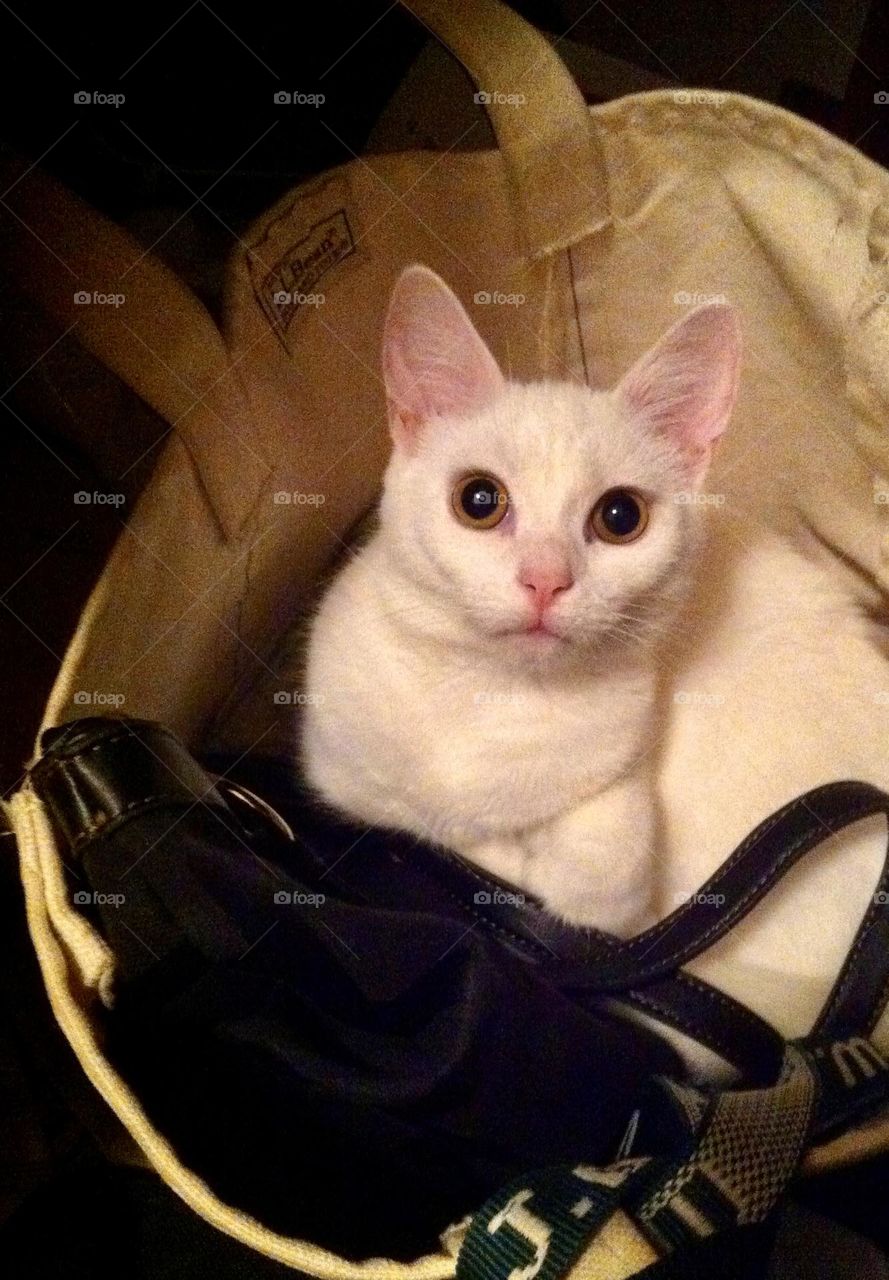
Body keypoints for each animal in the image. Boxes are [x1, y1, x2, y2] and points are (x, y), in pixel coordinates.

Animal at [303, 264, 741, 936]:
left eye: (621, 516)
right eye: (479, 500)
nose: (545, 579)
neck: (494, 693)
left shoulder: (625, 759)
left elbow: (609, 876)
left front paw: (556, 869)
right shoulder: (344, 773)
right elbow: (431, 823)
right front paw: (506, 852)